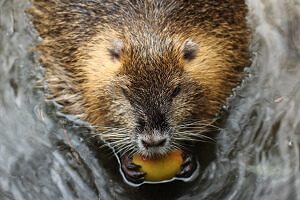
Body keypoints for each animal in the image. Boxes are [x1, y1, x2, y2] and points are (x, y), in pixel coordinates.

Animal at [28, 0, 250, 184]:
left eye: (176, 90)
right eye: (126, 92)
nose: (153, 141)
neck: (149, 30)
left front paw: (189, 160)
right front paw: (127, 164)